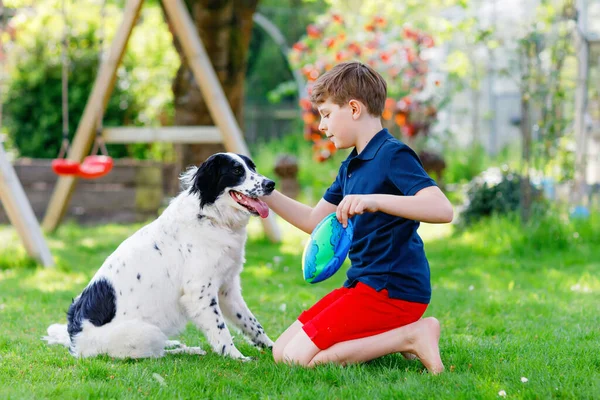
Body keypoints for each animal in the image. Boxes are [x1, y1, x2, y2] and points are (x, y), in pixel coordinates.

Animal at [43, 152, 276, 360]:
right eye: (237, 171)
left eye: (253, 167)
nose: (271, 184)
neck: (210, 217)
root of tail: (74, 340)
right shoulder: (199, 293)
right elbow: (221, 330)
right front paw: (236, 357)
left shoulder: (227, 289)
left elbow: (252, 323)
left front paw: (274, 349)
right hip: (147, 332)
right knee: (156, 354)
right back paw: (187, 350)